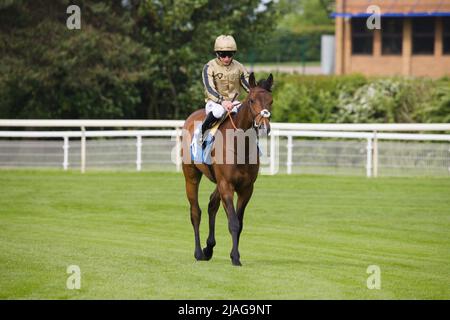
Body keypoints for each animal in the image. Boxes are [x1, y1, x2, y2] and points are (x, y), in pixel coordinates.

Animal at [180, 72, 272, 264]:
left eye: (271, 101)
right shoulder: (226, 186)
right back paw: (199, 252)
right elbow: (233, 222)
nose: (263, 127)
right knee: (195, 212)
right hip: (191, 176)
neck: (239, 144)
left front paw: (232, 254)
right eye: (252, 100)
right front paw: (235, 257)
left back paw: (208, 248)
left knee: (211, 205)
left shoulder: (246, 188)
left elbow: (239, 222)